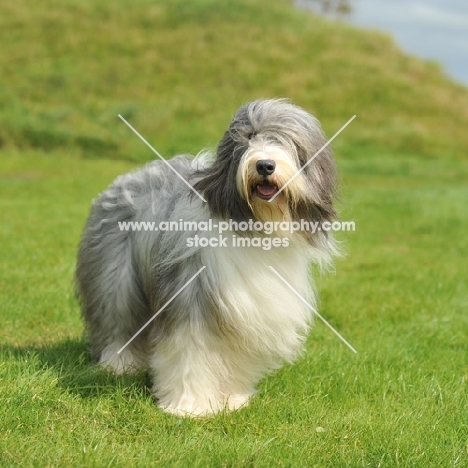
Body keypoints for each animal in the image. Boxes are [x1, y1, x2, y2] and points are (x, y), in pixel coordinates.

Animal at [77, 98, 340, 416]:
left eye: (288, 142)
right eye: (249, 138)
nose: (264, 165)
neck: (254, 225)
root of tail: (126, 179)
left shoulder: (245, 309)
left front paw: (233, 398)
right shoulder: (191, 293)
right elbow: (191, 351)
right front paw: (189, 406)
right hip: (115, 275)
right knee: (117, 317)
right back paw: (120, 364)